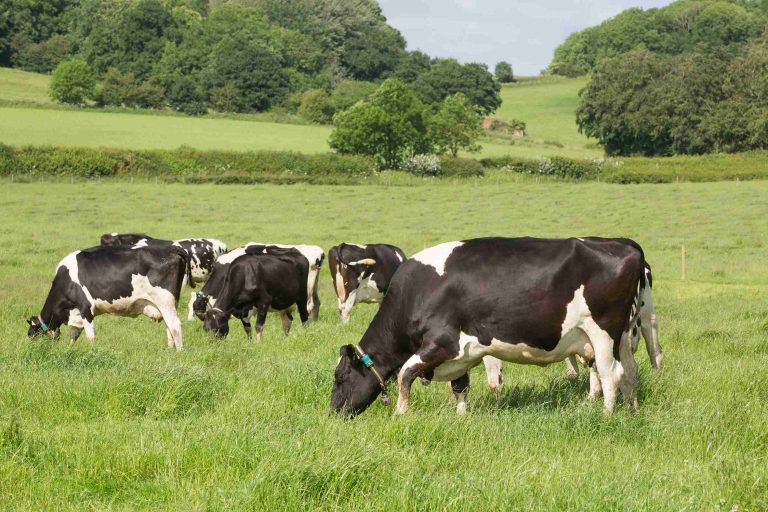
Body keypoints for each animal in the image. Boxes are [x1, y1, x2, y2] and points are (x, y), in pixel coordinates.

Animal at [27, 245, 192, 350]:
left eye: (32, 335)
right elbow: (74, 334)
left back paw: (179, 352)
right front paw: (70, 349)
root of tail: (171, 249)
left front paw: (92, 353)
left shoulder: (86, 307)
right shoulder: (76, 312)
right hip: (169, 303)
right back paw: (169, 351)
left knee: (175, 326)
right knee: (169, 326)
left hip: (165, 300)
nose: (34, 349)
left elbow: (90, 336)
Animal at [331, 237, 648, 417]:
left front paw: (400, 414)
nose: (334, 411)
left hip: (603, 333)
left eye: (340, 377)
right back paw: (632, 410)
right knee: (630, 371)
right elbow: (460, 386)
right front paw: (460, 418)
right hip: (623, 336)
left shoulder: (443, 343)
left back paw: (606, 416)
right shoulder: (462, 354)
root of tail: (624, 247)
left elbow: (405, 375)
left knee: (610, 375)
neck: (416, 292)